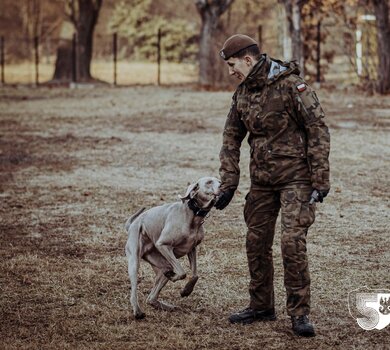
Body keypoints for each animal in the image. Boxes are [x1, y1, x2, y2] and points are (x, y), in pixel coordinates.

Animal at [126, 176, 221, 318]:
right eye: (209, 182)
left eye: (219, 181)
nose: (223, 186)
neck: (193, 215)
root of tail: (132, 224)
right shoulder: (163, 245)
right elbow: (182, 272)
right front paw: (177, 280)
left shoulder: (192, 249)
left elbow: (195, 275)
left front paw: (186, 291)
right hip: (134, 261)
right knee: (134, 291)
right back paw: (137, 311)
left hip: (162, 264)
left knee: (152, 297)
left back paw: (167, 306)